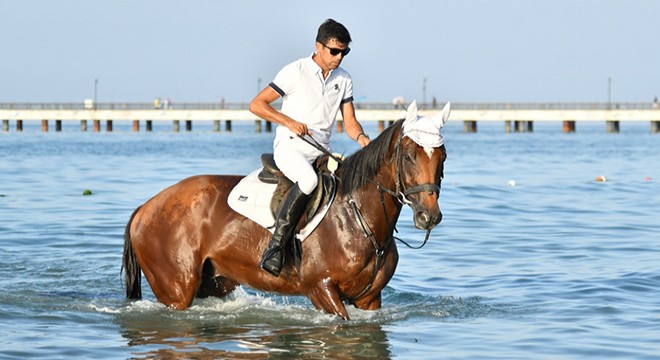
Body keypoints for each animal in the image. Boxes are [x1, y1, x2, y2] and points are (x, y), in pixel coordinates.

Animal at [121, 100, 448, 320]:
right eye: (408, 156)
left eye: (442, 156)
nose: (429, 216)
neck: (358, 215)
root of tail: (145, 207)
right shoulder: (321, 289)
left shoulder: (370, 298)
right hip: (176, 289)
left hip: (213, 283)